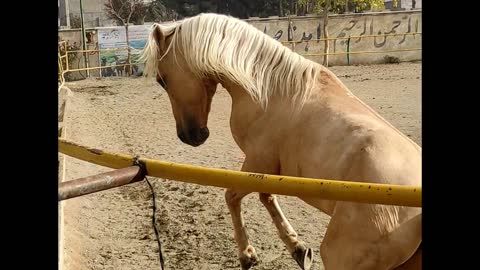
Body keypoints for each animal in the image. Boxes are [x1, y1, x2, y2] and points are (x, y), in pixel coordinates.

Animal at [139, 13, 420, 270]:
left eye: (161, 80)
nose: (189, 137)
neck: (269, 90)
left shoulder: (257, 162)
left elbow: (232, 197)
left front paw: (247, 255)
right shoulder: (270, 169)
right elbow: (266, 197)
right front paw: (297, 248)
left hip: (339, 257)